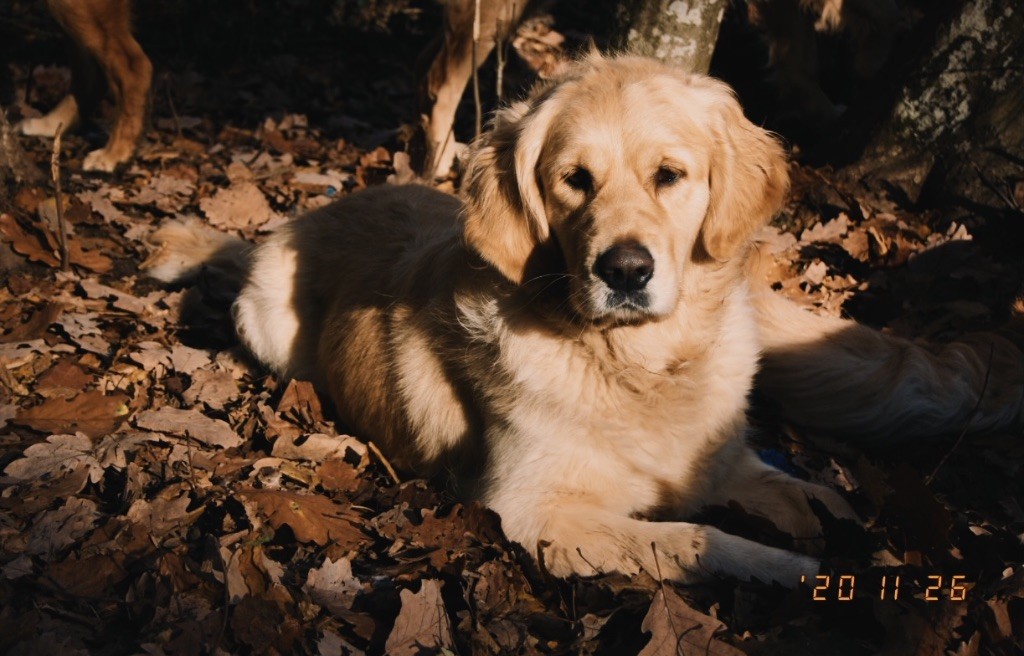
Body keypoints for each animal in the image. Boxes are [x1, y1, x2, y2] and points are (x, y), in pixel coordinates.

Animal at [146, 55, 1024, 581]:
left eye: (670, 175)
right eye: (574, 179)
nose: (625, 271)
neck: (638, 365)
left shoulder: (723, 462)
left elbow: (797, 487)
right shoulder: (535, 510)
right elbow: (692, 540)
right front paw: (803, 573)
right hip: (266, 323)